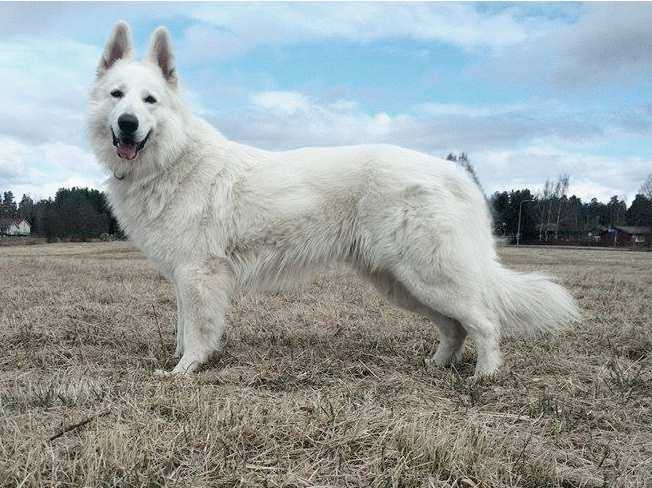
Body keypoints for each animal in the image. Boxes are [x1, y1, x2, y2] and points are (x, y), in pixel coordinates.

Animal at [88, 23, 580, 378]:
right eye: (117, 95)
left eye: (150, 100)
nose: (128, 123)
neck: (173, 159)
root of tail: (455, 174)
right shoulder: (183, 277)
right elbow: (182, 325)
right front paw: (180, 361)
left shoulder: (199, 274)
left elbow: (196, 330)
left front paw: (185, 370)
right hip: (402, 283)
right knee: (455, 327)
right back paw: (437, 366)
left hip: (429, 276)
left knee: (484, 322)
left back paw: (484, 376)